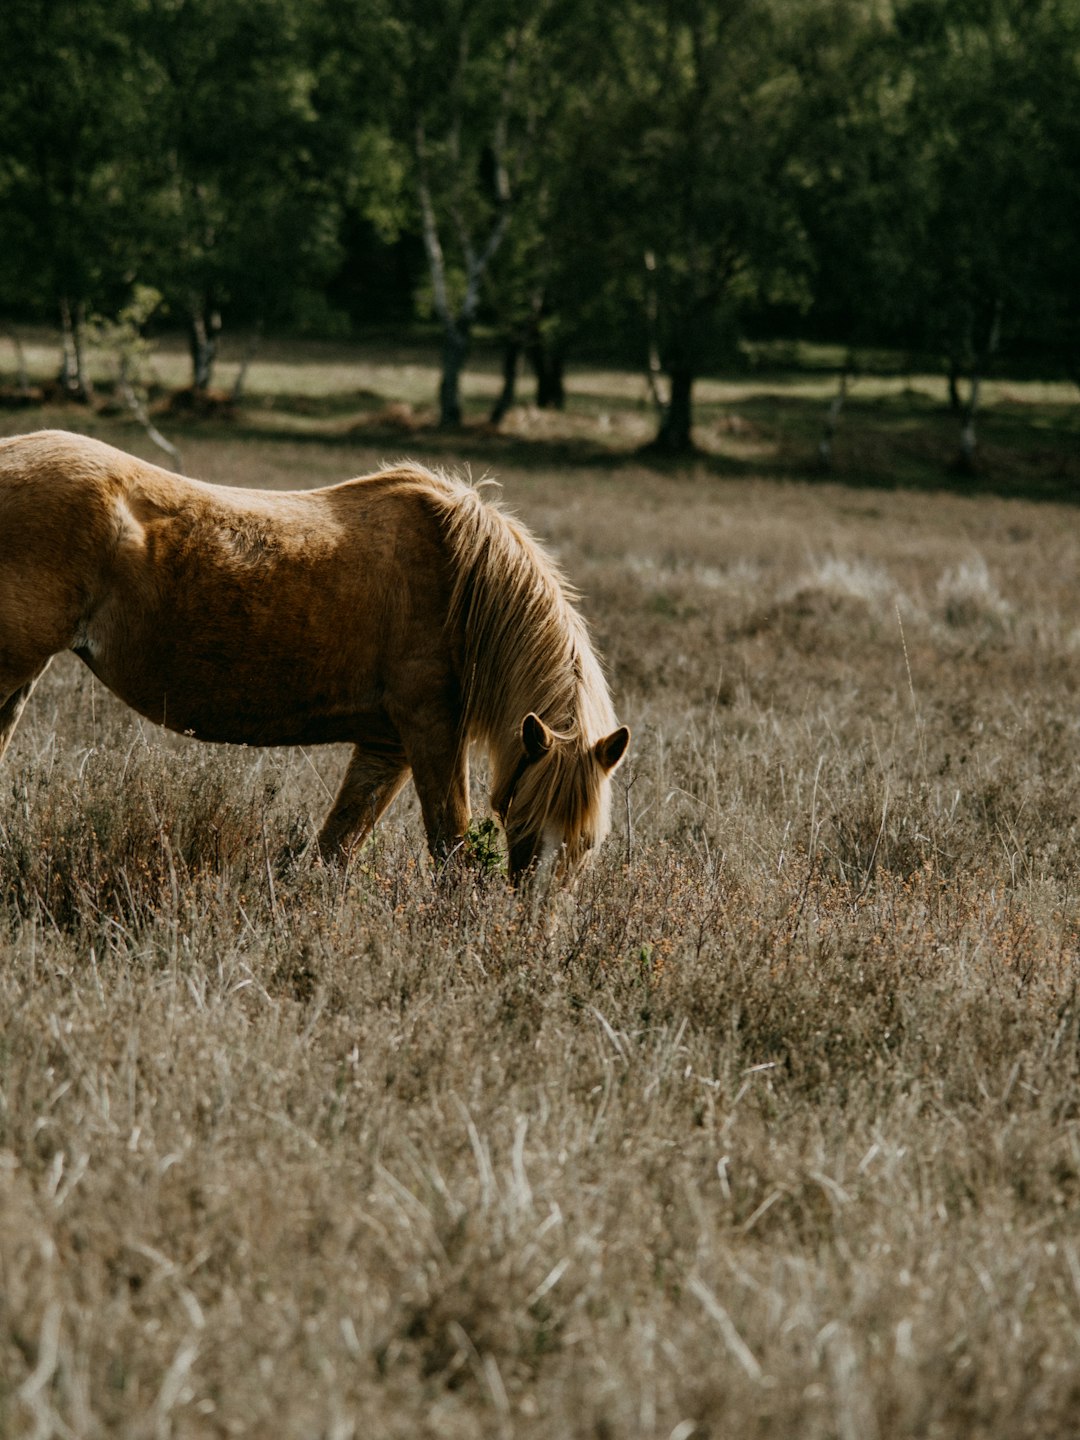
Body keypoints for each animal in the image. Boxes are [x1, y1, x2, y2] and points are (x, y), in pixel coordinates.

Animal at [0, 426, 630, 881]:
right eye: (523, 825)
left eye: (588, 843)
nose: (534, 934)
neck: (461, 584)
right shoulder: (431, 733)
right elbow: (451, 852)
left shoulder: (387, 748)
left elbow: (334, 851)